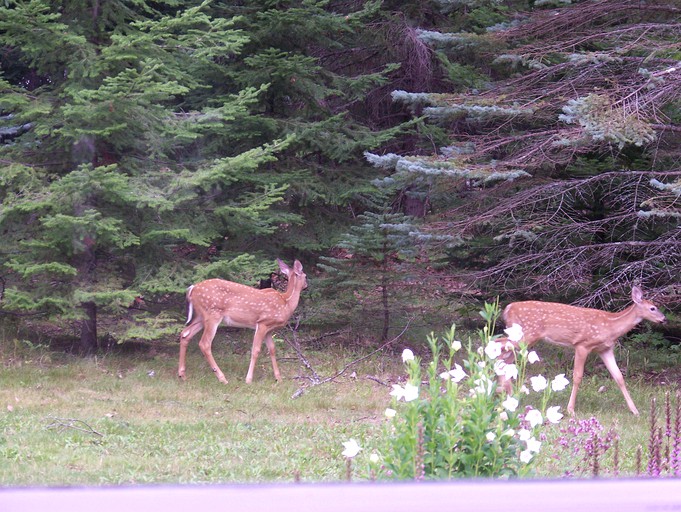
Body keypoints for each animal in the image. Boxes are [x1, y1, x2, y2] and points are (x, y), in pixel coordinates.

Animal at [500, 288, 664, 416]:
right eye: (652, 308)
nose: (664, 319)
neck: (610, 326)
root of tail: (508, 308)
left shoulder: (605, 349)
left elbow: (619, 377)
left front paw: (635, 410)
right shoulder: (582, 345)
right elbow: (577, 376)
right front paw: (570, 409)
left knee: (505, 359)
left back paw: (508, 396)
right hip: (525, 334)